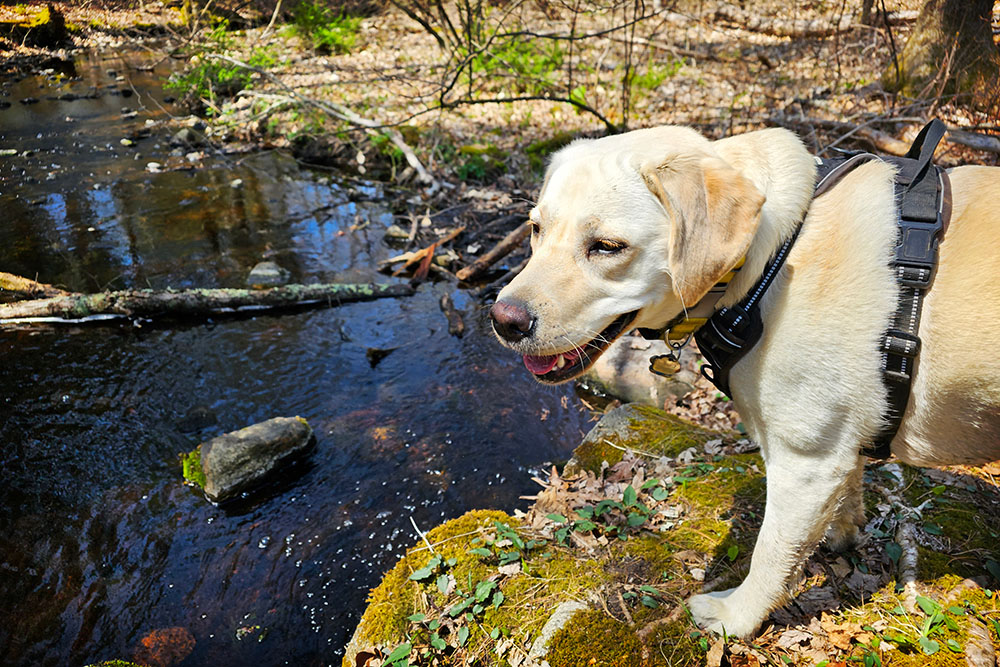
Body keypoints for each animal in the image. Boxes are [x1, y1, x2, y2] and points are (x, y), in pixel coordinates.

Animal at [488, 124, 1000, 636]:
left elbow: (771, 555)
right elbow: (848, 489)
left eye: (607, 246)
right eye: (535, 229)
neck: (771, 255)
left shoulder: (805, 464)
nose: (503, 320)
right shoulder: (836, 447)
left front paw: (736, 617)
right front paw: (843, 532)